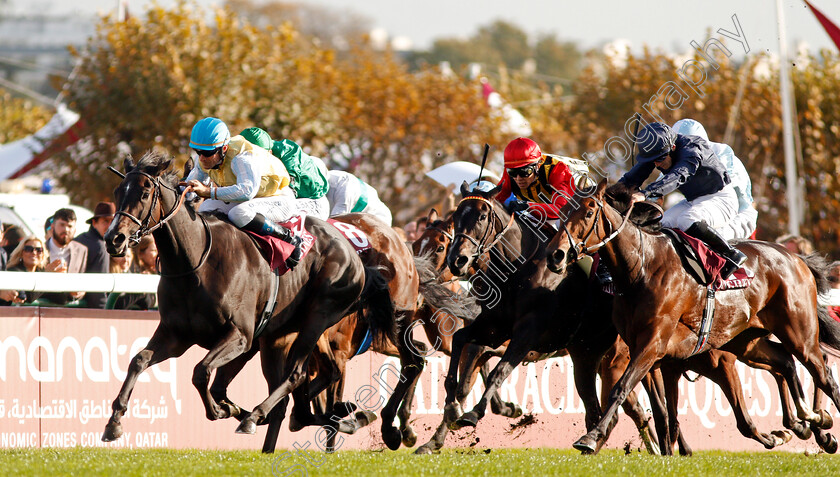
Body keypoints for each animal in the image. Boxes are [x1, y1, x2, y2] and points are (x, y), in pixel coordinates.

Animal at [101, 152, 390, 442]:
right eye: (118, 191)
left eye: (145, 192)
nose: (113, 238)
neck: (195, 263)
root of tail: (353, 252)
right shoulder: (176, 335)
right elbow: (139, 361)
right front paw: (114, 422)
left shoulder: (240, 336)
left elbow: (200, 372)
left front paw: (222, 410)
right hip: (276, 337)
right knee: (306, 385)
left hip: (318, 318)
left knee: (297, 374)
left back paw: (259, 416)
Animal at [544, 181, 840, 454]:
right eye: (564, 210)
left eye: (588, 211)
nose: (555, 255)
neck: (641, 269)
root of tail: (796, 257)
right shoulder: (653, 356)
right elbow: (662, 411)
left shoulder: (654, 345)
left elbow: (622, 388)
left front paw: (590, 438)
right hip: (746, 341)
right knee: (786, 362)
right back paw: (811, 420)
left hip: (798, 333)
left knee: (822, 371)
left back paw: (819, 424)